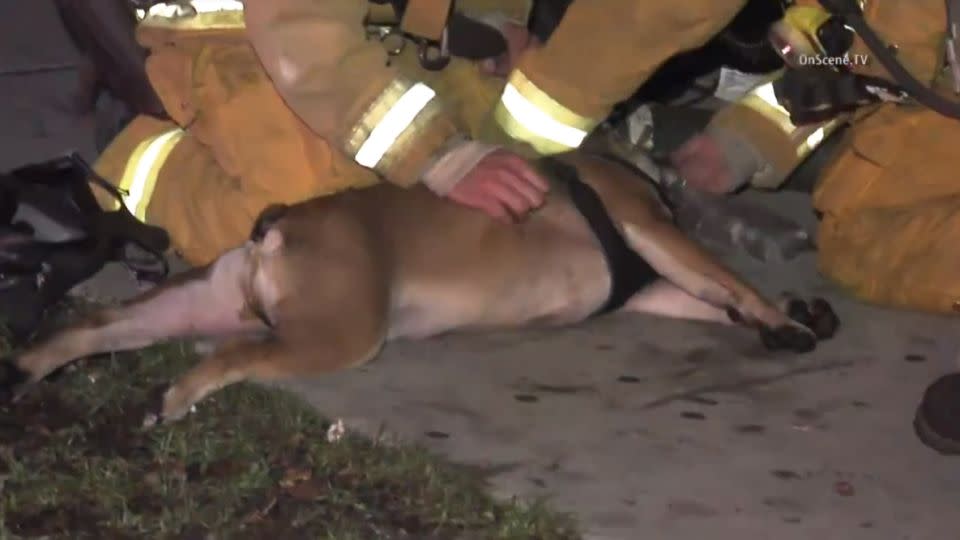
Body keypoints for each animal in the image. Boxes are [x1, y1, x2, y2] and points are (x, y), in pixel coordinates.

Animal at [0, 151, 836, 422]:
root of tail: (279, 226)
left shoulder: (653, 281)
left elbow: (709, 297)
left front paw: (788, 312)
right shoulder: (648, 229)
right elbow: (727, 279)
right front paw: (782, 316)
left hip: (194, 301)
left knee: (89, 329)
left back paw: (25, 368)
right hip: (340, 332)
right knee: (231, 357)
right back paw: (173, 398)